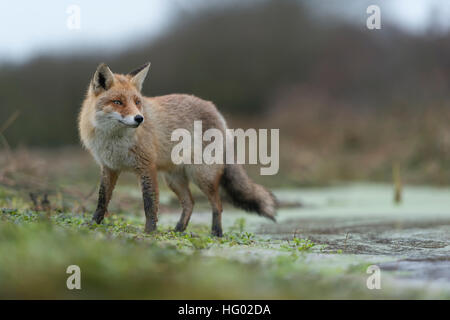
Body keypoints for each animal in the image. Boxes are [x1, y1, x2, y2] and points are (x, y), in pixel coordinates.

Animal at [78, 63, 276, 238]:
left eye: (137, 102)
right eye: (118, 102)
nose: (139, 118)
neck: (114, 140)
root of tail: (215, 110)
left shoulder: (146, 167)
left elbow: (149, 203)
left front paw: (150, 232)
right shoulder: (109, 167)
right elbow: (102, 200)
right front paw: (92, 225)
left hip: (202, 175)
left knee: (218, 205)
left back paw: (216, 233)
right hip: (174, 179)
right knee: (190, 203)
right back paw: (178, 230)